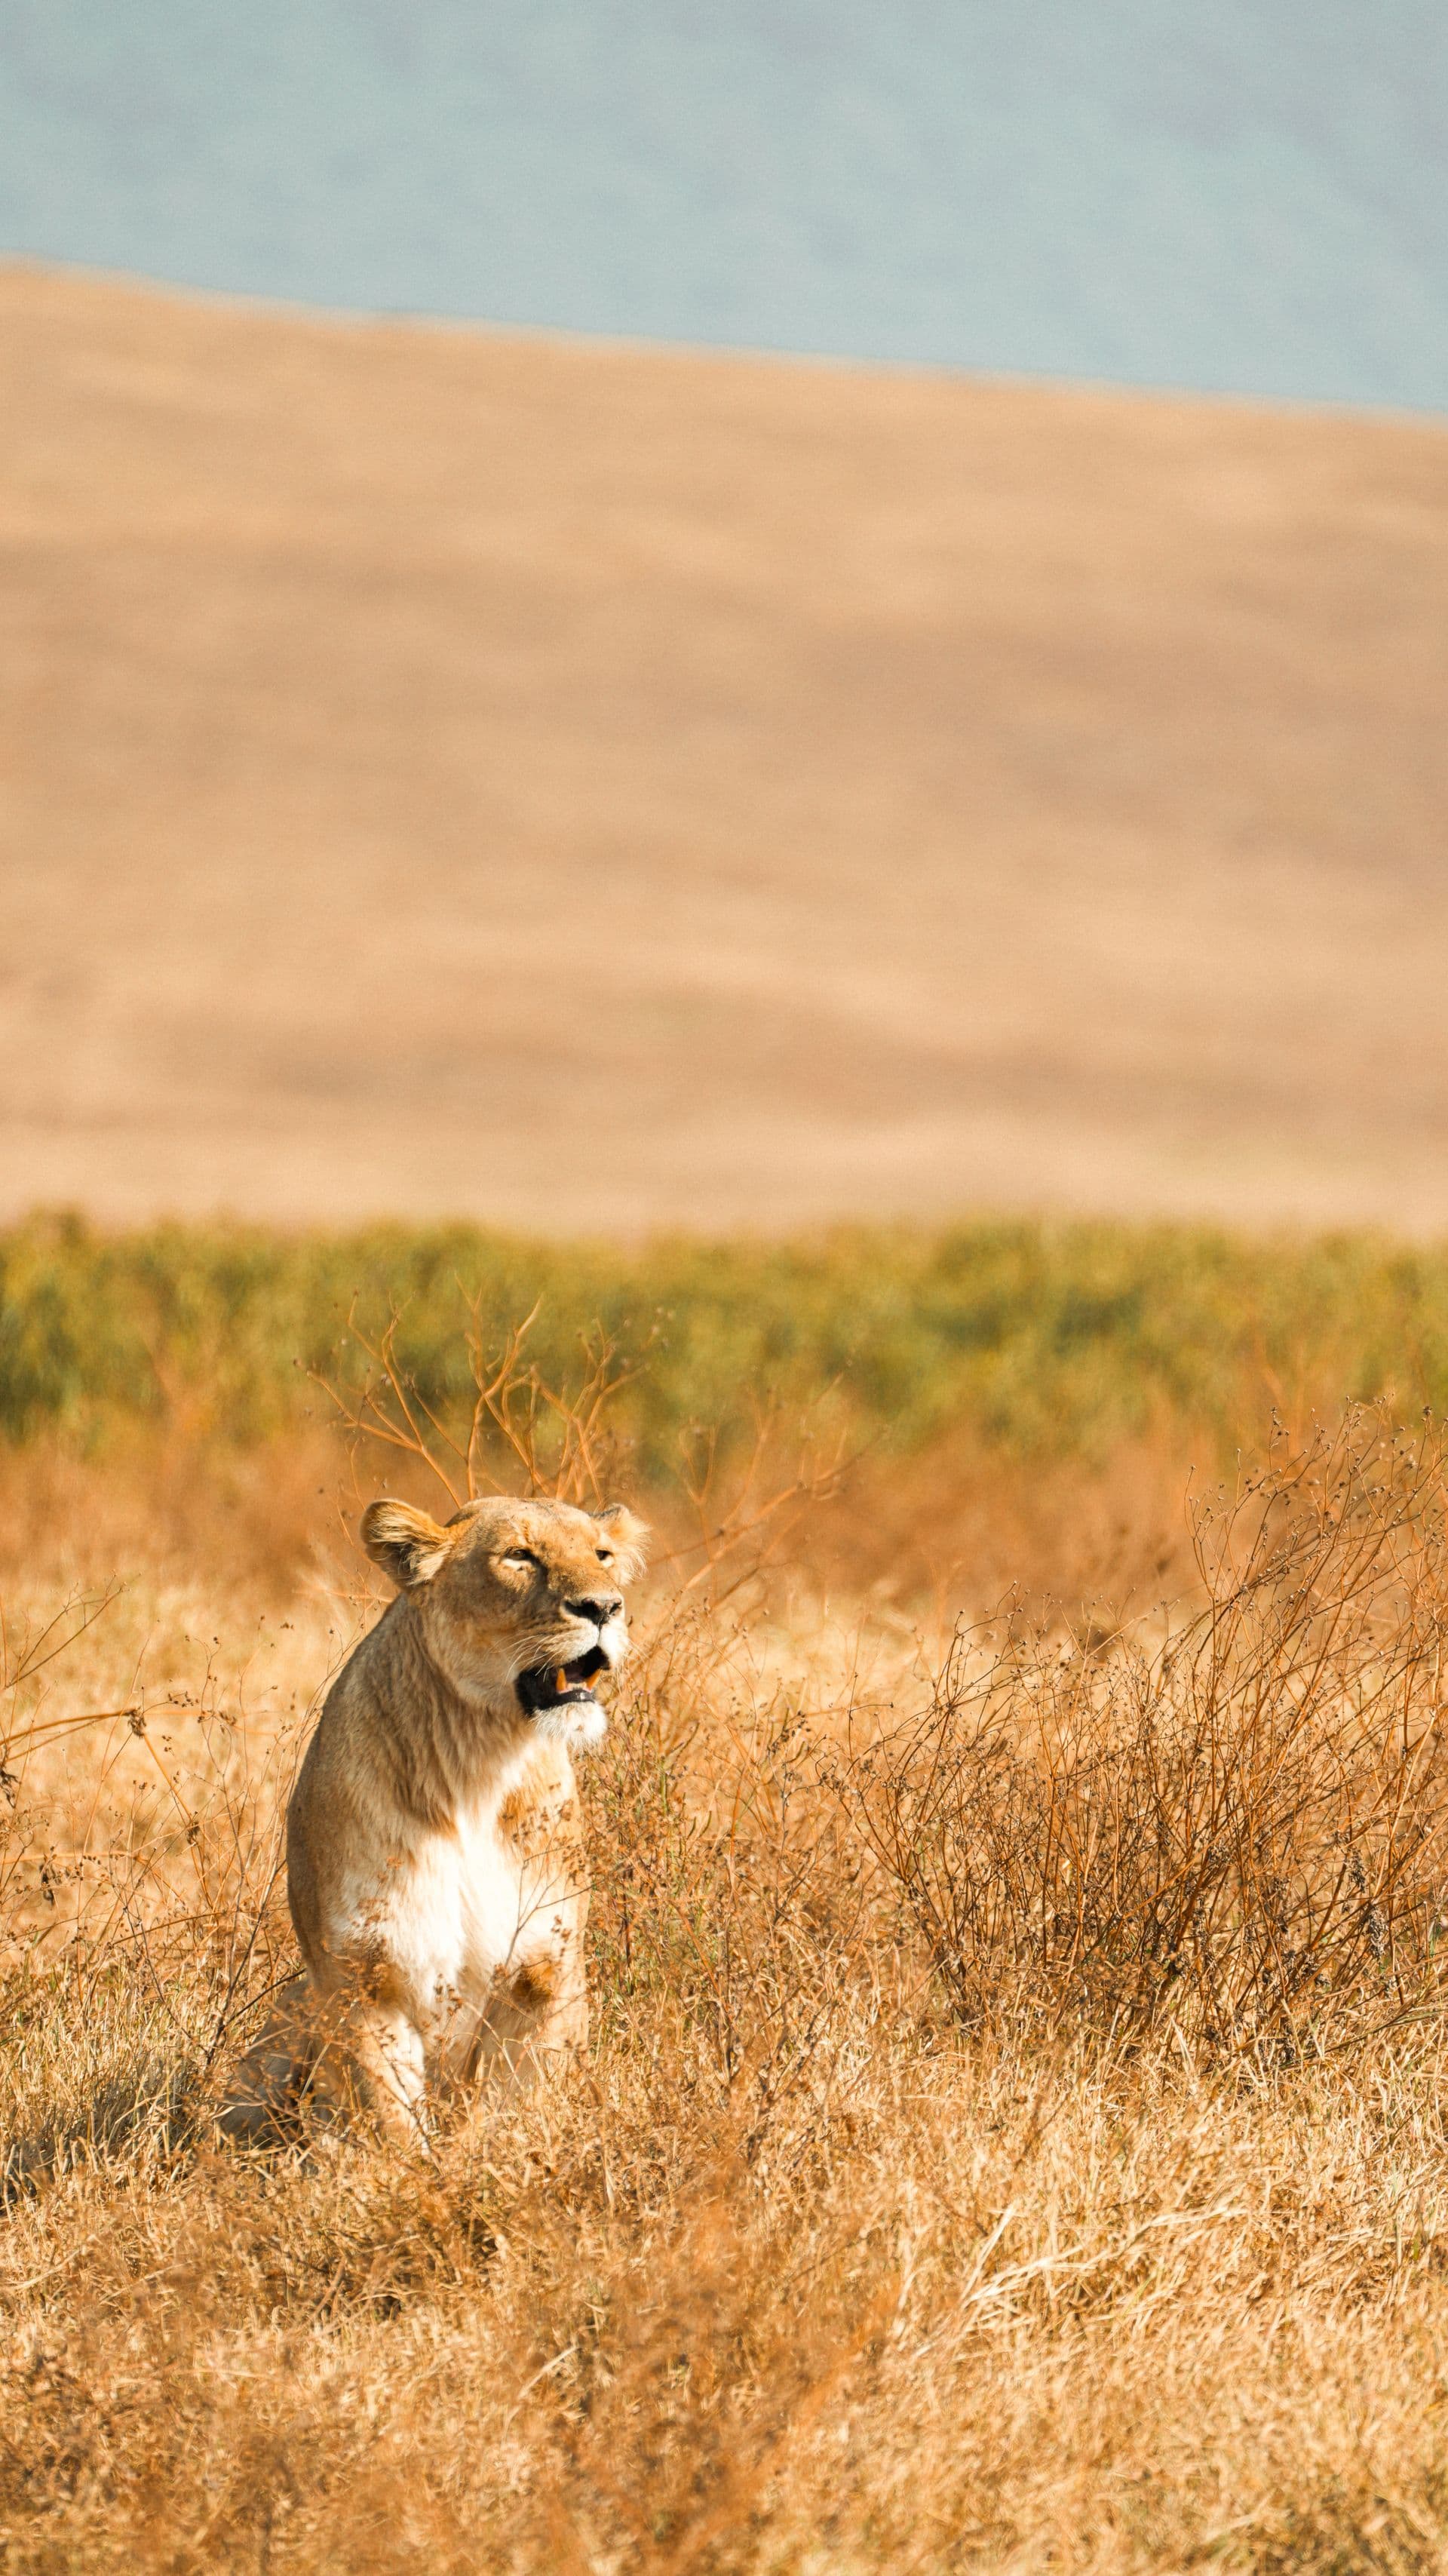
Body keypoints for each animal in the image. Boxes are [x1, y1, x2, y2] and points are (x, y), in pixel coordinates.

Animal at [220, 1491, 647, 2144]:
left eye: (602, 1555)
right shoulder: (360, 1975)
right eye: (519, 1555)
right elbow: (392, 2120)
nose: (604, 1606)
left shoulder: (548, 1972)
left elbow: (514, 2114)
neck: (480, 1763)